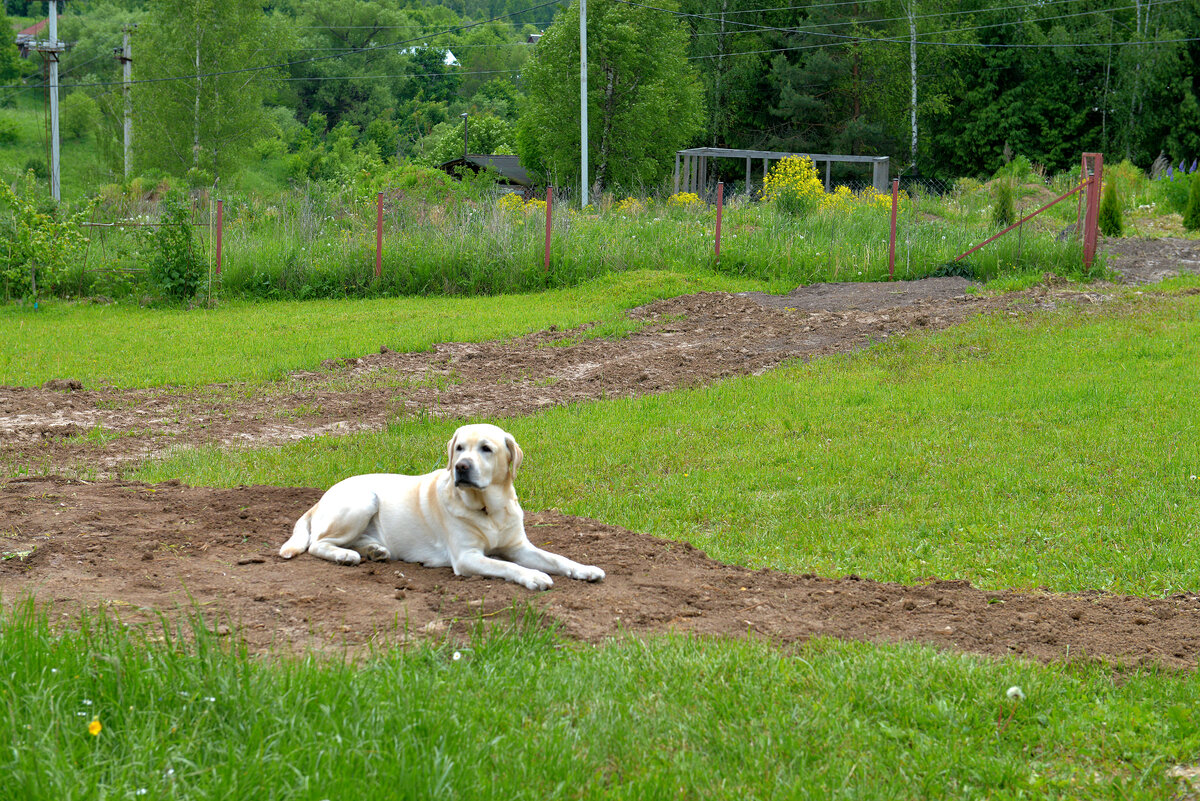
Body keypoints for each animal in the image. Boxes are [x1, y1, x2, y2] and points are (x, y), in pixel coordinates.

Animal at [278, 422, 600, 592]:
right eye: (459, 448)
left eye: (486, 448)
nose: (461, 467)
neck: (490, 510)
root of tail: (320, 499)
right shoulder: (467, 557)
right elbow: (506, 565)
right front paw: (534, 576)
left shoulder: (520, 547)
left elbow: (557, 558)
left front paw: (584, 569)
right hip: (364, 499)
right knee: (317, 544)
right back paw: (346, 555)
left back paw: (373, 550)